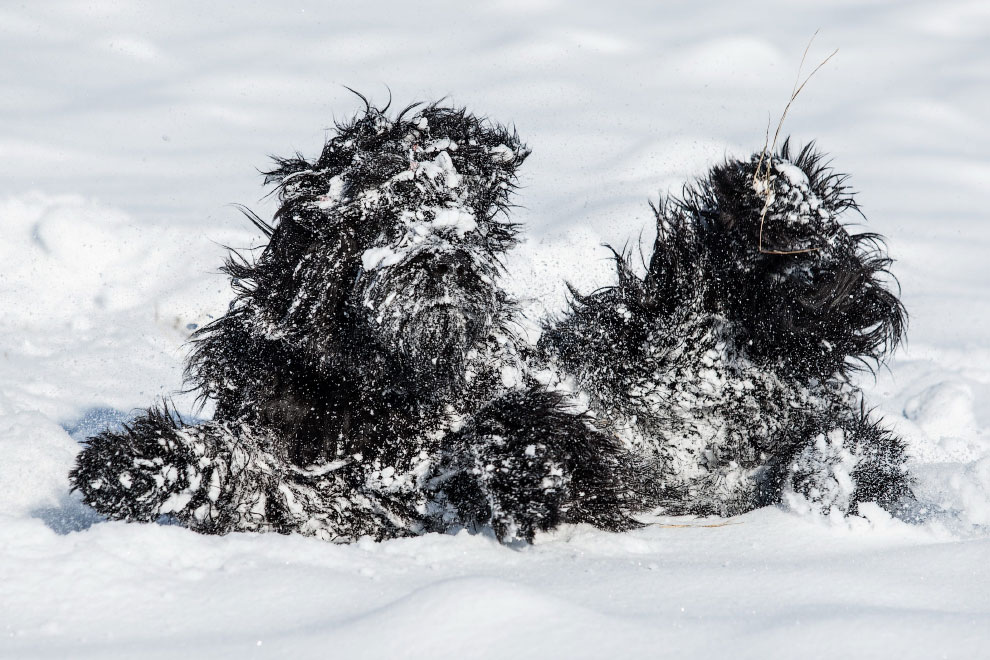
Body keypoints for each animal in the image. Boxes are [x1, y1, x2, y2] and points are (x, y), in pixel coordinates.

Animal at [73, 100, 640, 544]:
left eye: (457, 207)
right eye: (382, 211)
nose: (448, 261)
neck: (373, 380)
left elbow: (528, 424)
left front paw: (529, 474)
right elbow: (246, 470)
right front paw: (130, 465)